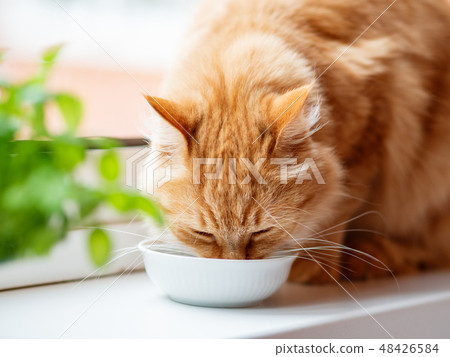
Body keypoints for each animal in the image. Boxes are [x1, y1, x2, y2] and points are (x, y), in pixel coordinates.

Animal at [144, 0, 450, 282]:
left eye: (261, 232)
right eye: (203, 234)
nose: (234, 266)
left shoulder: (374, 125)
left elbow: (335, 211)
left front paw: (314, 268)